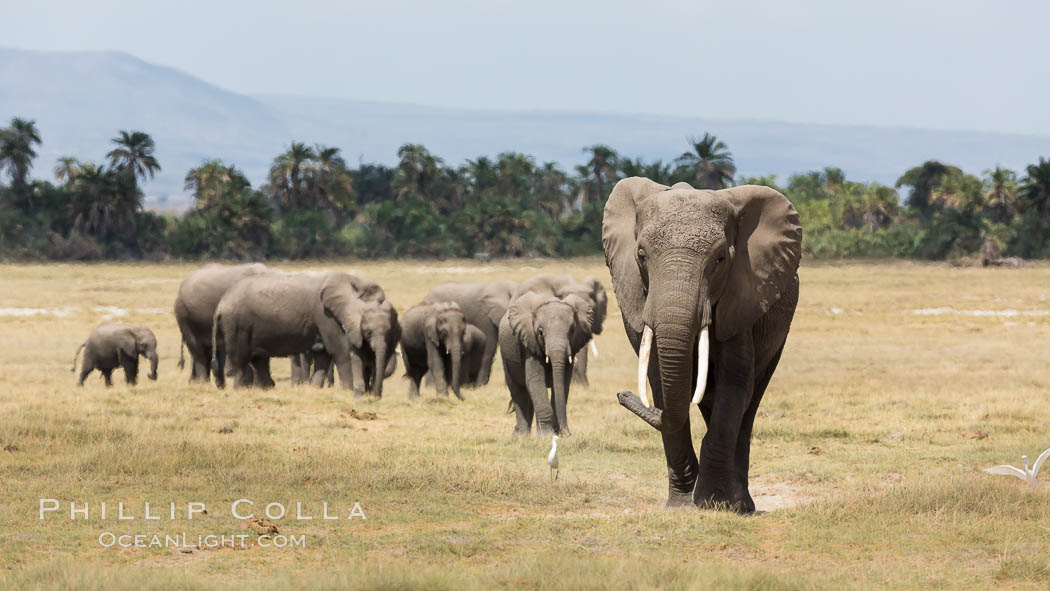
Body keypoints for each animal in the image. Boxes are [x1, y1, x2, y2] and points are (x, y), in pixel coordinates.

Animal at [497, 293, 592, 436]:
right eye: (540, 332)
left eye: (572, 330)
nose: (567, 433)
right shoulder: (530, 344)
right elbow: (535, 381)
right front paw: (546, 436)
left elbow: (563, 383)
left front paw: (554, 434)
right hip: (506, 358)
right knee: (519, 392)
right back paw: (521, 436)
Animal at [604, 175, 797, 514]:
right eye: (641, 255)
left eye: (720, 260)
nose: (622, 394)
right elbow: (660, 383)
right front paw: (682, 506)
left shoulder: (742, 295)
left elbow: (735, 384)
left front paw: (713, 503)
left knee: (748, 405)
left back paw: (741, 505)